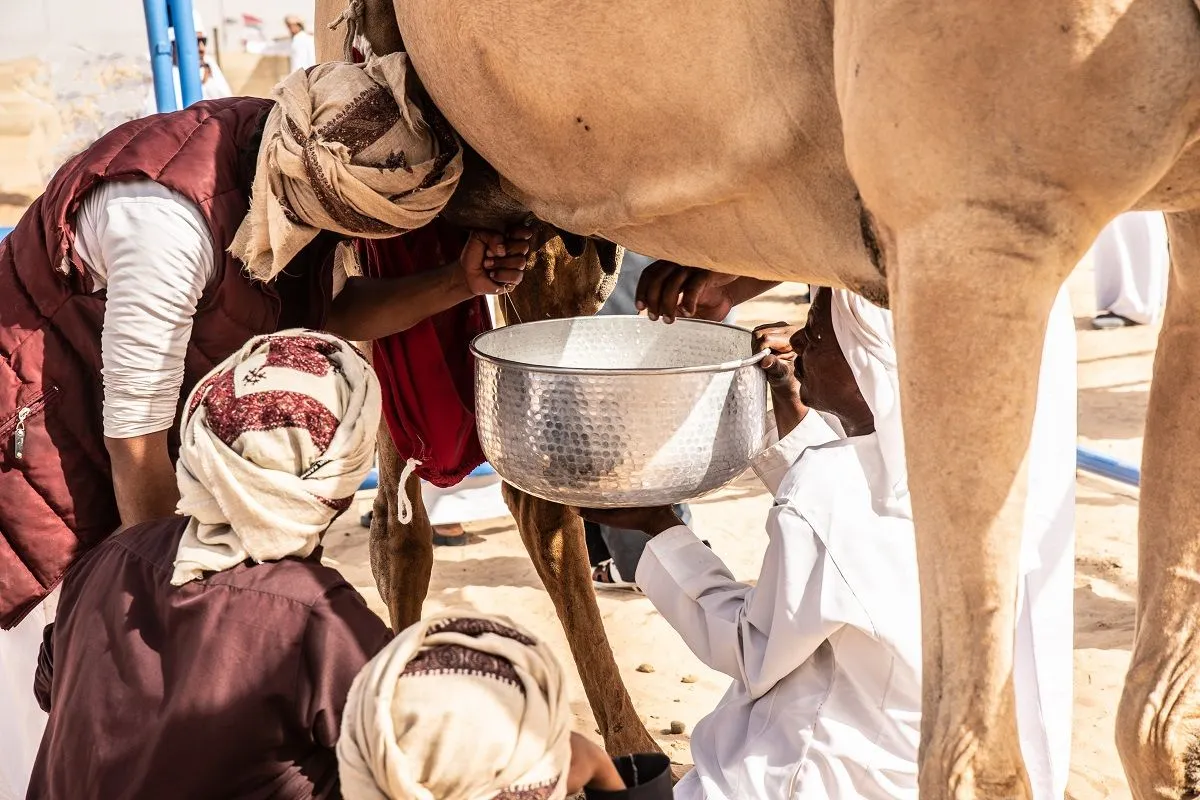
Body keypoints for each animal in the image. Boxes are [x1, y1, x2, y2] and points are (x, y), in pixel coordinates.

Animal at [312, 3, 1200, 796]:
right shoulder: (971, 217)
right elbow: (970, 760)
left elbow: (1157, 728)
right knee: (403, 494)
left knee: (523, 500)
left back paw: (629, 749)